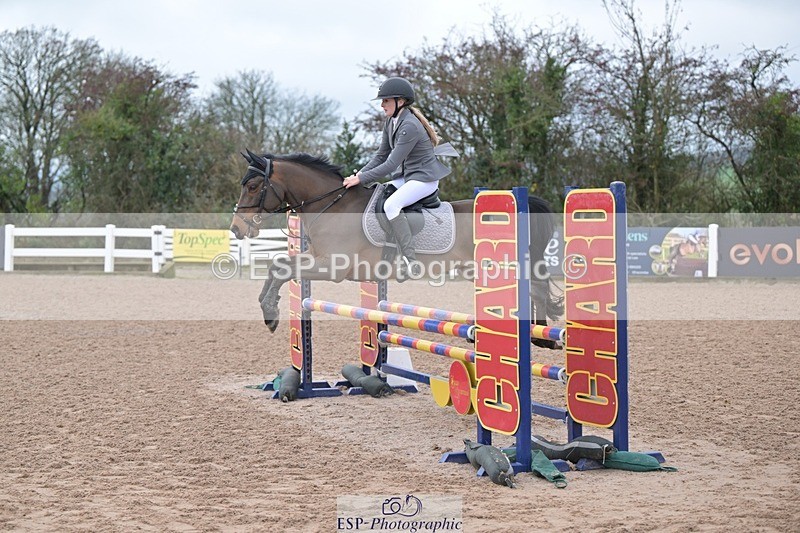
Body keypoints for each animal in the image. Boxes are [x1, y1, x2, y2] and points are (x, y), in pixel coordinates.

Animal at [230, 150, 563, 347]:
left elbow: (282, 268)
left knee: (535, 290)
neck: (332, 205)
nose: (236, 229)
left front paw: (270, 312)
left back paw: (543, 337)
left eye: (253, 186)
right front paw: (269, 309)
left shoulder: (332, 266)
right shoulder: (316, 258)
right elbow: (279, 265)